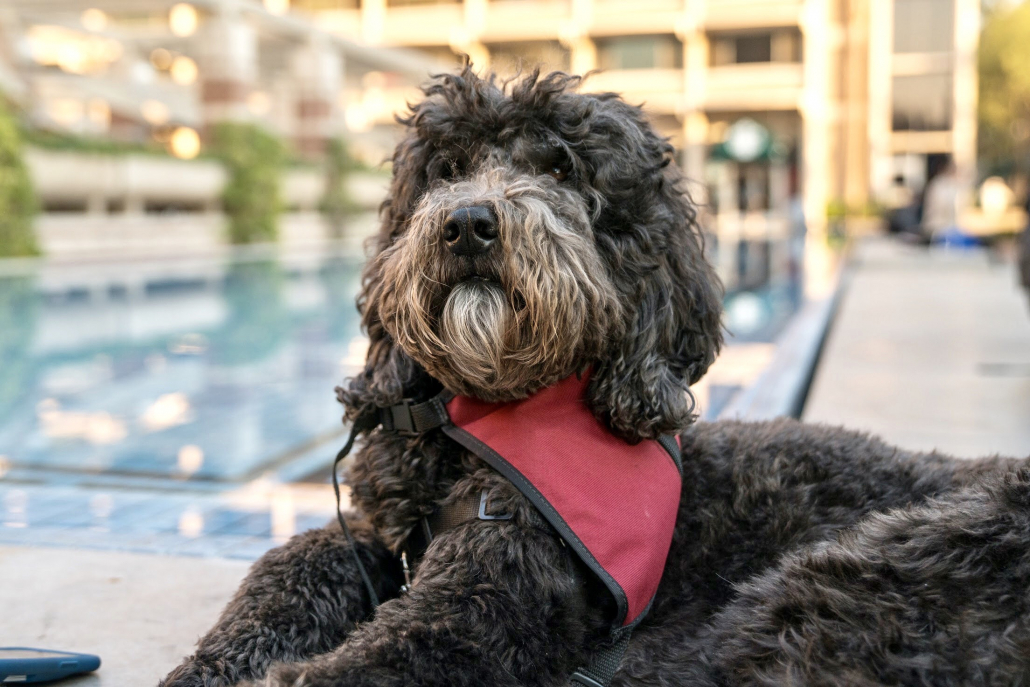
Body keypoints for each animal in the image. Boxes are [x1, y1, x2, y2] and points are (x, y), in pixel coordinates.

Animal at [158, 65, 1030, 687]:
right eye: (446, 167)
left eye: (562, 169)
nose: (467, 222)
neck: (468, 427)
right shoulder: (376, 537)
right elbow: (289, 566)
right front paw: (210, 661)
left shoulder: (493, 594)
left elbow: (397, 647)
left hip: (856, 578)